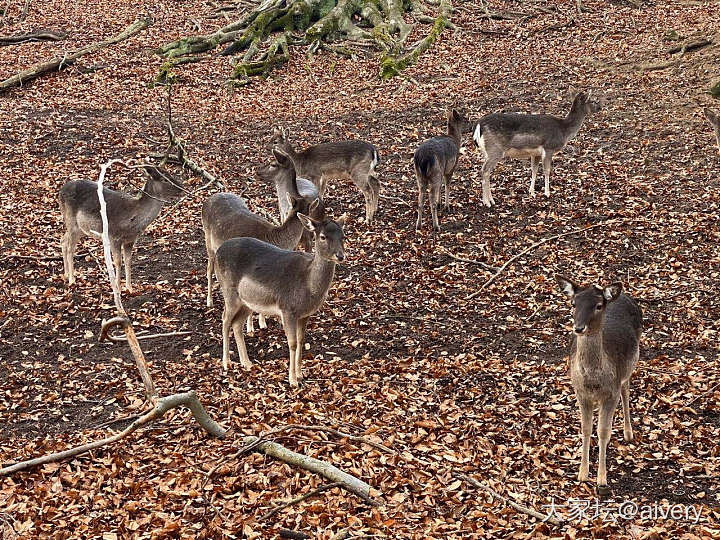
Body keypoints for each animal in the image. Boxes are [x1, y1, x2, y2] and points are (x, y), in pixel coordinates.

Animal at [204, 150, 324, 332]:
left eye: (273, 164)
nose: (257, 170)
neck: (274, 237)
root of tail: (211, 197)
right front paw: (251, 328)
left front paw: (262, 323)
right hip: (208, 240)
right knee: (209, 267)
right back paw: (209, 301)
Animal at [214, 213, 346, 386]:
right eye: (323, 236)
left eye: (343, 236)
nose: (340, 256)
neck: (309, 287)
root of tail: (217, 252)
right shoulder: (287, 309)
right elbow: (292, 343)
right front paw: (293, 380)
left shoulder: (305, 314)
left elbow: (301, 340)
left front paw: (301, 374)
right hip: (229, 292)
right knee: (225, 320)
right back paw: (227, 362)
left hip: (247, 302)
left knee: (236, 324)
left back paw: (247, 363)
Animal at [556, 276, 644, 496]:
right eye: (573, 304)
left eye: (597, 306)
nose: (578, 328)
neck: (594, 380)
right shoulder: (580, 392)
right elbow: (586, 428)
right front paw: (582, 473)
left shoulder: (611, 393)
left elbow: (603, 431)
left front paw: (601, 479)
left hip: (630, 365)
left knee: (626, 389)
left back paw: (628, 433)